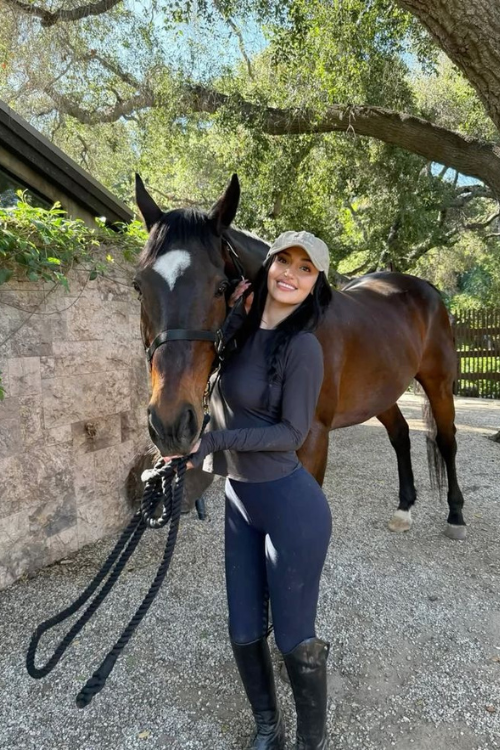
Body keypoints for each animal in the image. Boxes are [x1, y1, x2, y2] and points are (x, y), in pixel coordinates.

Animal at [133, 173, 466, 541]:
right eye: (138, 286)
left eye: (220, 287)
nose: (170, 424)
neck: (294, 322)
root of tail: (427, 290)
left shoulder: (313, 439)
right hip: (381, 392)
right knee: (401, 435)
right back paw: (404, 509)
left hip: (438, 384)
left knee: (446, 440)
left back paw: (455, 515)